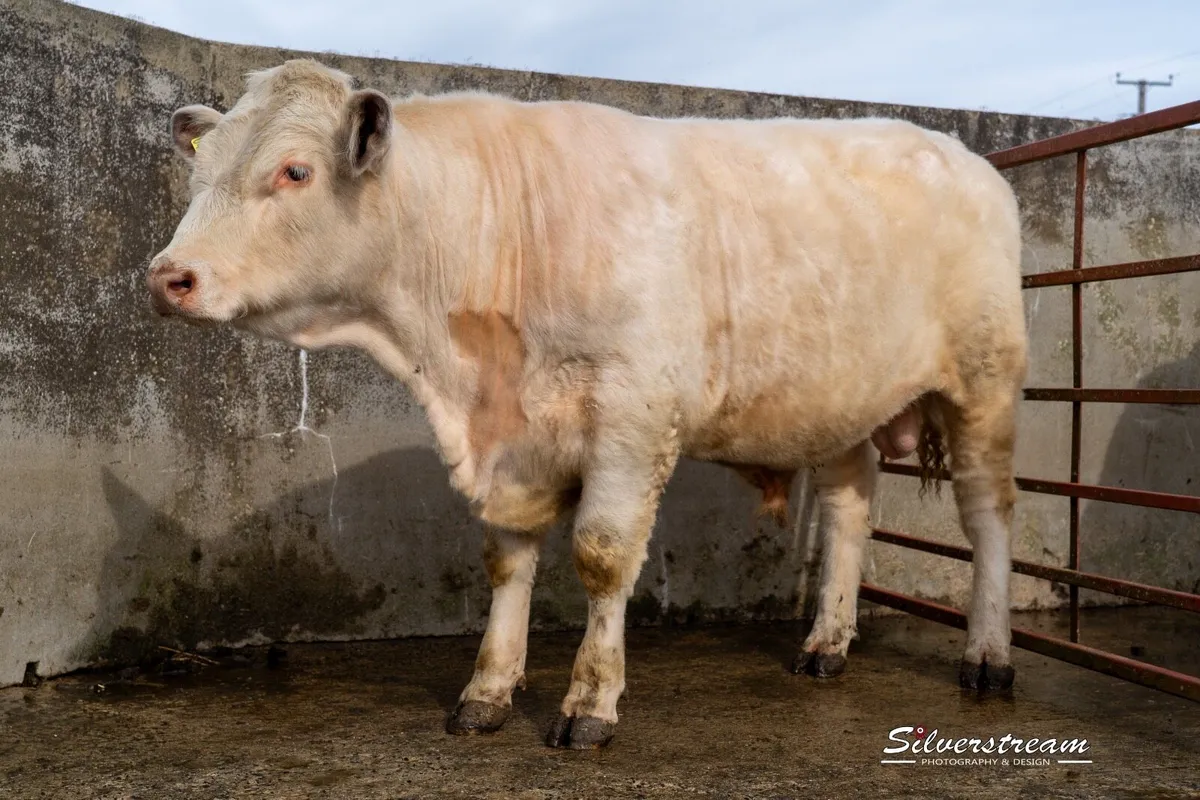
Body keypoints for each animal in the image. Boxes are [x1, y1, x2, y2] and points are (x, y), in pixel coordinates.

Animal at [147, 59, 1027, 750]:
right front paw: (488, 691)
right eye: (199, 170)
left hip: (985, 385)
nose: (167, 277)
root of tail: (963, 155)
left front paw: (590, 701)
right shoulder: (514, 442)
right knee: (850, 506)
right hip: (840, 399)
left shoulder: (633, 416)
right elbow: (506, 560)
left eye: (294, 171)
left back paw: (988, 656)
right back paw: (827, 642)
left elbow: (603, 556)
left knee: (988, 513)